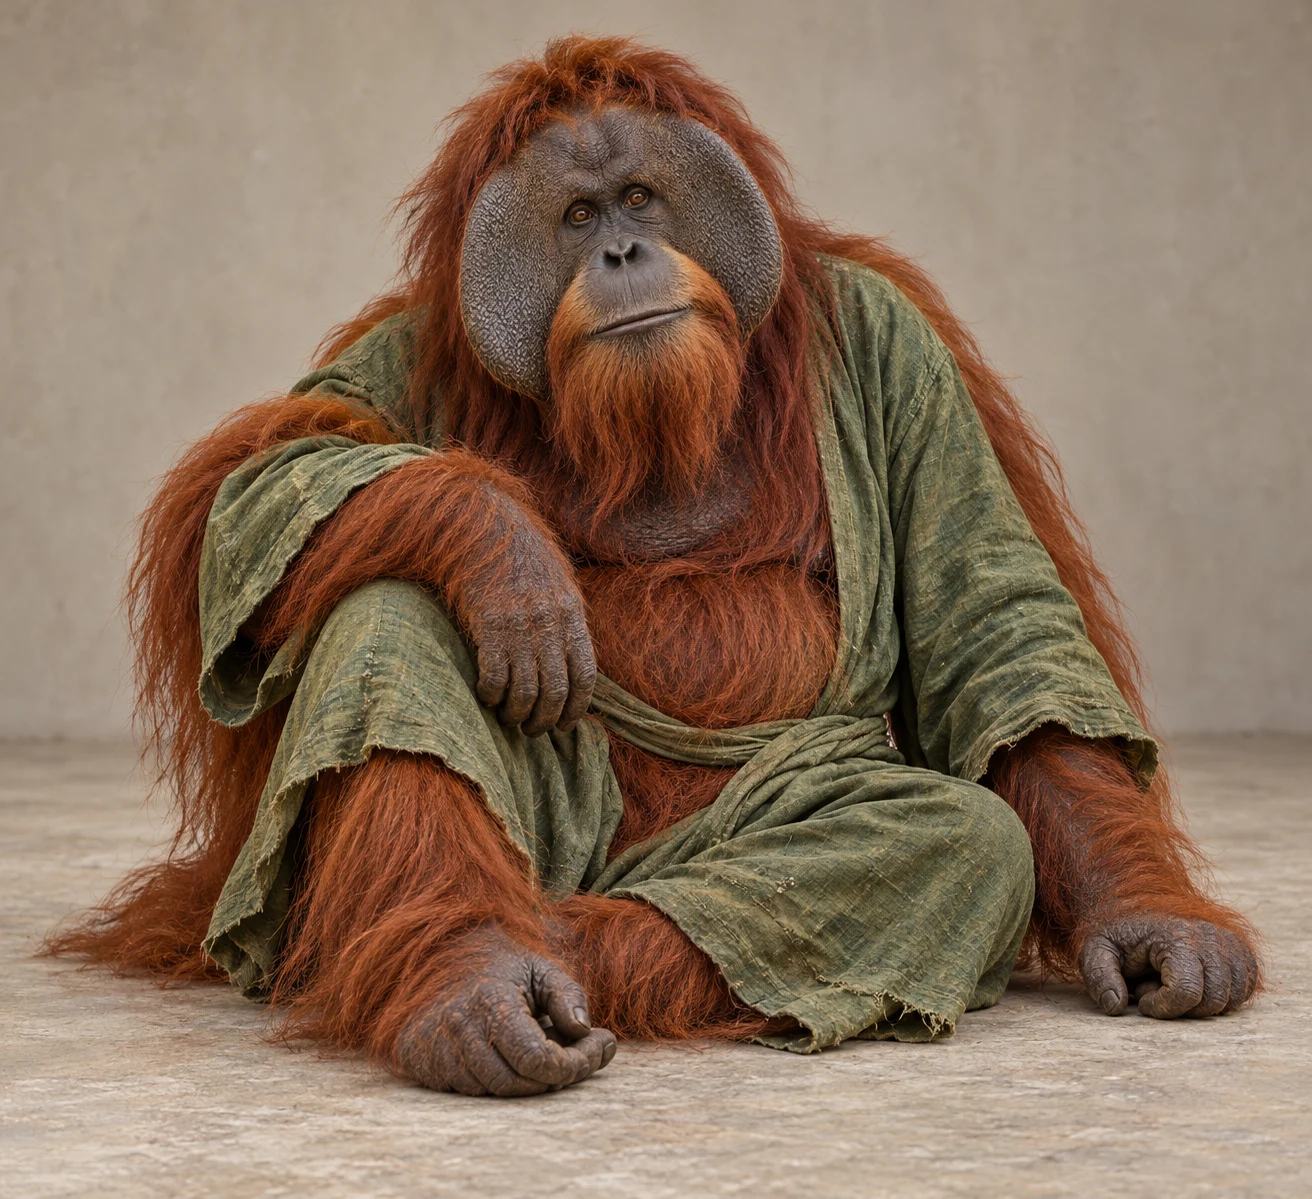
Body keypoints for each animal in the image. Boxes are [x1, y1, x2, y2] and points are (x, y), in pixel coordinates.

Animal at [49, 37, 1260, 1098]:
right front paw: (504, 554)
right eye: (577, 216)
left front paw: (1156, 926)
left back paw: (527, 948)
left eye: (639, 197)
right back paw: (465, 980)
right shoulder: (407, 351)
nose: (620, 253)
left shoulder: (901, 346)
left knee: (950, 840)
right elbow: (261, 484)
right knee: (384, 615)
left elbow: (996, 629)